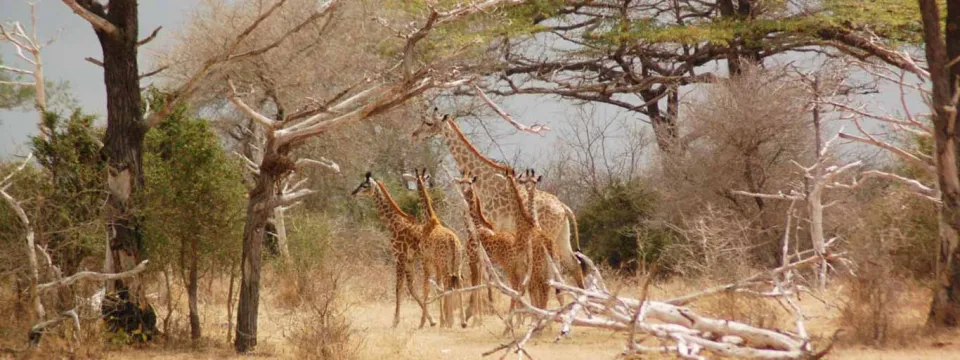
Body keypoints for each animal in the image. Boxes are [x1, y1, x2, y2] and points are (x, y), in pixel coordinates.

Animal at [348, 173, 436, 328]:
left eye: (364, 185)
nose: (353, 193)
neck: (394, 224)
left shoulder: (399, 257)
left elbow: (398, 288)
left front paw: (395, 321)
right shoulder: (408, 260)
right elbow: (411, 288)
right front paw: (431, 320)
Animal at [410, 169, 466, 330]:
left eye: (416, 181)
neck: (429, 220)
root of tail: (453, 242)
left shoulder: (426, 260)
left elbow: (427, 286)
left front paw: (424, 322)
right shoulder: (436, 264)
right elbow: (438, 286)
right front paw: (442, 320)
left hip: (445, 263)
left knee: (448, 283)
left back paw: (450, 321)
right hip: (457, 263)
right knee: (458, 282)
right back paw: (461, 321)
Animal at [412, 109, 584, 290]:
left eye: (429, 123)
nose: (414, 134)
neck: (485, 183)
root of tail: (563, 208)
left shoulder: (492, 226)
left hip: (549, 233)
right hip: (562, 235)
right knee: (573, 264)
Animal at [452, 171, 528, 324]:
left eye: (470, 182)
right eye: (461, 182)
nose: (464, 191)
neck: (475, 226)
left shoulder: (472, 259)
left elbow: (475, 285)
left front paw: (471, 317)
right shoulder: (481, 263)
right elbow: (481, 284)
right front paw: (477, 319)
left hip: (509, 265)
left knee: (515, 286)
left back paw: (512, 320)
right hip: (520, 266)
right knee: (522, 287)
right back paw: (521, 320)